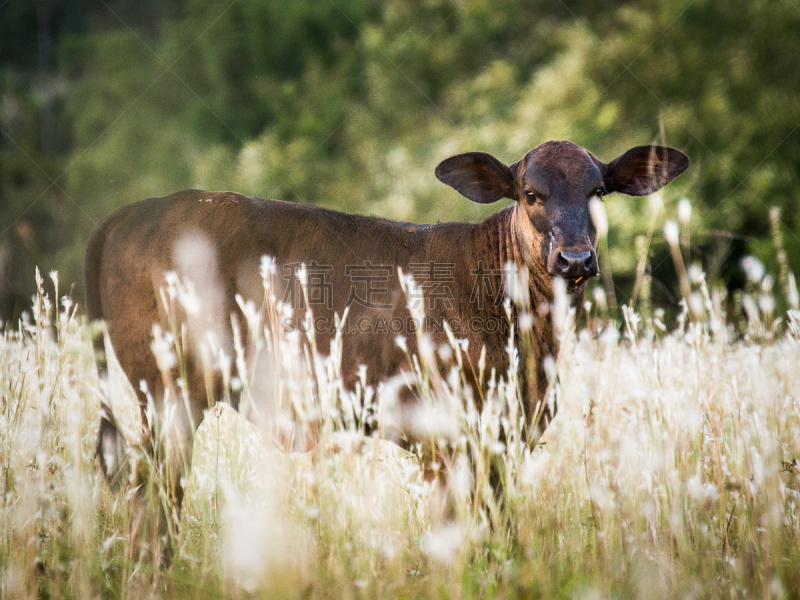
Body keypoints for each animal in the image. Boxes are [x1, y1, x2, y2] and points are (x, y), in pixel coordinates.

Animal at [87, 141, 688, 510]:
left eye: (597, 192)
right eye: (530, 194)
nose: (575, 258)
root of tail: (131, 213)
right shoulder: (449, 434)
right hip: (166, 392)